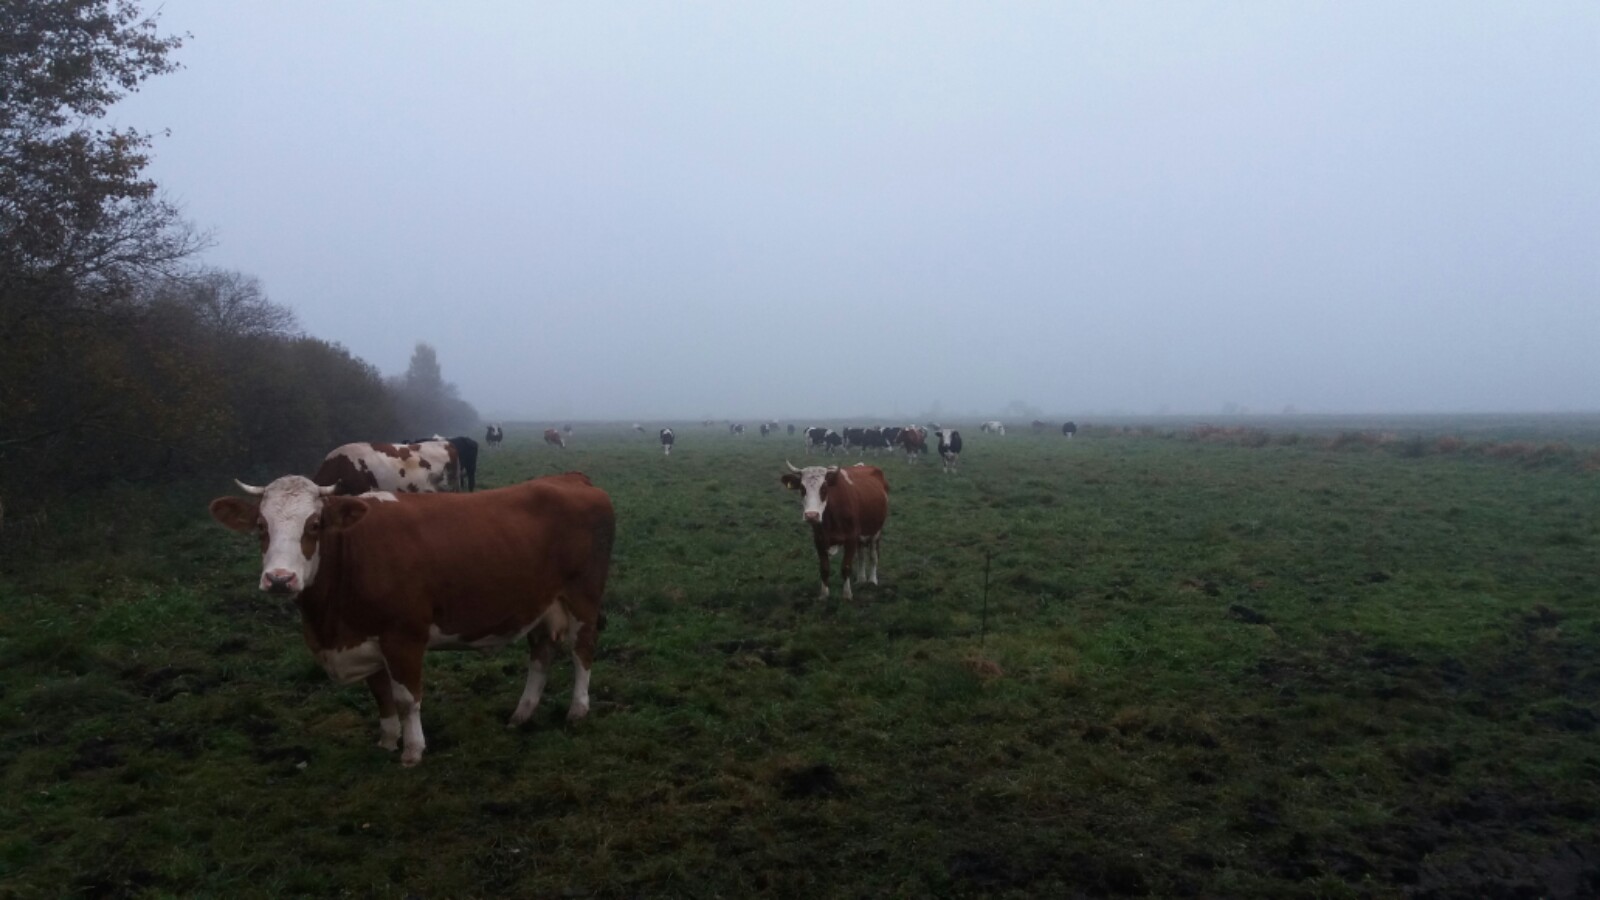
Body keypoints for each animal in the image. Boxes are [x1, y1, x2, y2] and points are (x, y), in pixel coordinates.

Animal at [208, 472, 615, 766]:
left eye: (315, 524)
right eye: (261, 526)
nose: (279, 579)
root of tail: (570, 477)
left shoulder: (403, 636)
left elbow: (406, 698)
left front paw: (413, 750)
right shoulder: (365, 635)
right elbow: (380, 693)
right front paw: (388, 740)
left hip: (583, 596)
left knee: (583, 649)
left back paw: (578, 710)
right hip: (539, 603)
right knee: (541, 654)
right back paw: (522, 714)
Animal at [779, 462, 888, 601]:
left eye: (824, 488)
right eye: (802, 488)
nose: (811, 515)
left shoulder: (851, 538)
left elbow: (846, 567)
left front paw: (847, 595)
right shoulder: (819, 539)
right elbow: (824, 568)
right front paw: (824, 595)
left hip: (876, 531)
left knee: (873, 555)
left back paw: (872, 581)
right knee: (861, 556)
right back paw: (861, 579)